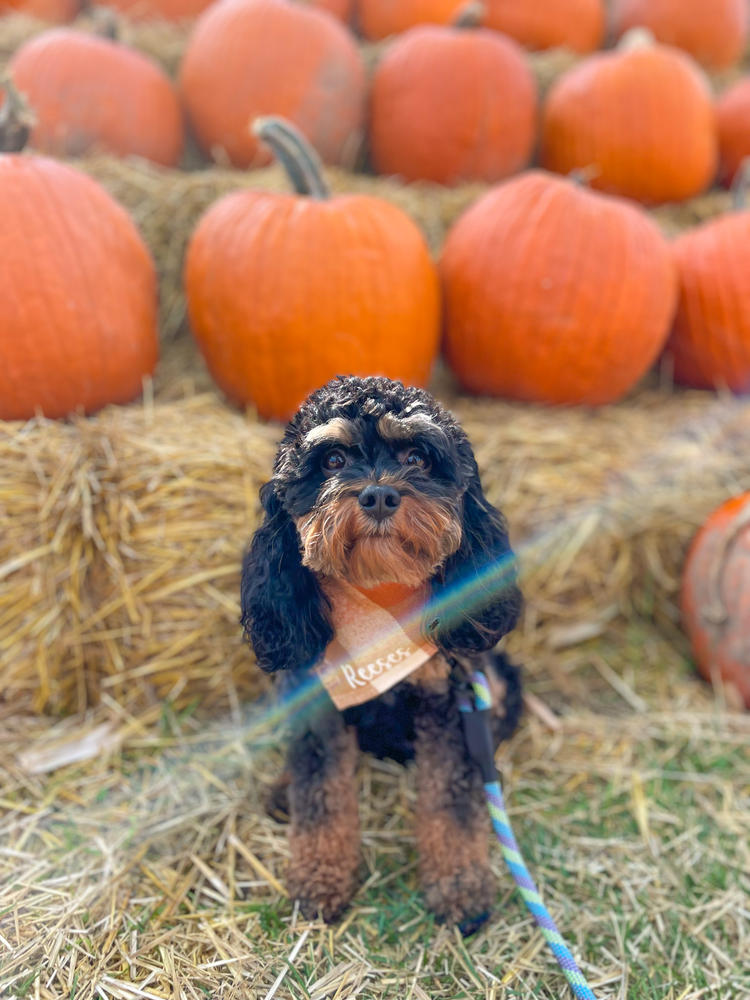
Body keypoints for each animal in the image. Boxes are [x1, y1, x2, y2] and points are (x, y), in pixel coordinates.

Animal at [241, 374, 524, 928]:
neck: (380, 599)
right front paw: (319, 877)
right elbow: (321, 795)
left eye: (418, 457)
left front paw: (459, 884)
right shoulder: (315, 699)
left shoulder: (450, 702)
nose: (377, 494)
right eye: (332, 461)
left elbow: (450, 801)